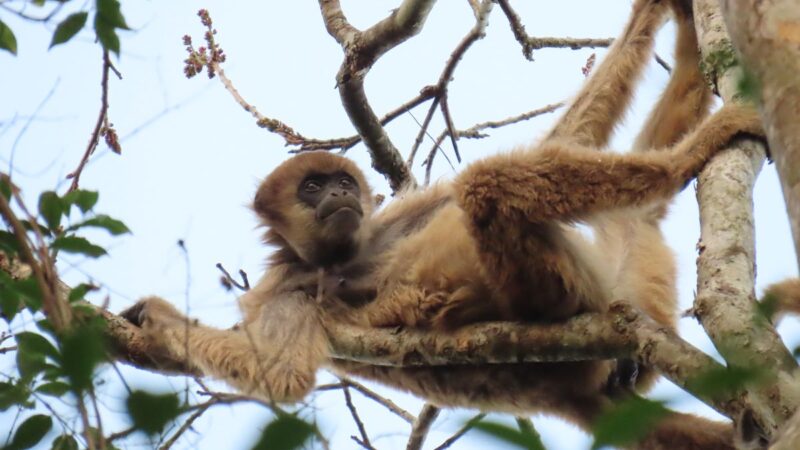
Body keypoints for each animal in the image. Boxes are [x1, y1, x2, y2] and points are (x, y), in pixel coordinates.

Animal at [120, 0, 764, 444]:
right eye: (312, 188)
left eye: (341, 182)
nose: (339, 192)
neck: (337, 259)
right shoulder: (284, 288)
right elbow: (279, 375)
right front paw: (157, 320)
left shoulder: (381, 222)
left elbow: (568, 136)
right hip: (563, 291)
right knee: (492, 186)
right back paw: (687, 155)